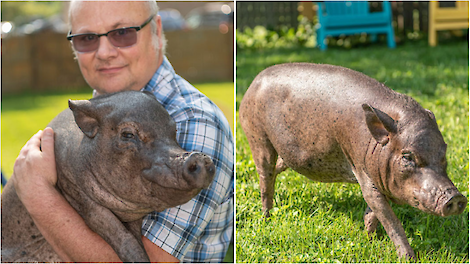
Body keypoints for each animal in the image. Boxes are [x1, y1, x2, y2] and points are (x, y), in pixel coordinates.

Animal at [241, 63, 468, 258]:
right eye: (407, 156)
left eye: (443, 151)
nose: (455, 197)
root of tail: (254, 82)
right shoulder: (361, 169)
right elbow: (389, 217)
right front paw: (408, 257)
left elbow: (372, 212)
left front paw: (371, 240)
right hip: (258, 137)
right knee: (265, 177)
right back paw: (267, 217)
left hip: (285, 154)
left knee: (276, 170)